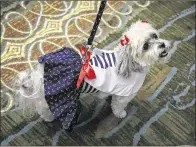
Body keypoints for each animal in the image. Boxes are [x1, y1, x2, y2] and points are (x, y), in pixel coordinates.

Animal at [14, 20, 170, 131]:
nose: (162, 45)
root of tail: (38, 76)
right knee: (43, 108)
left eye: (154, 36)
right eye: (145, 46)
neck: (129, 64)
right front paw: (120, 114)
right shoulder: (124, 95)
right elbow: (118, 106)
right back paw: (48, 118)